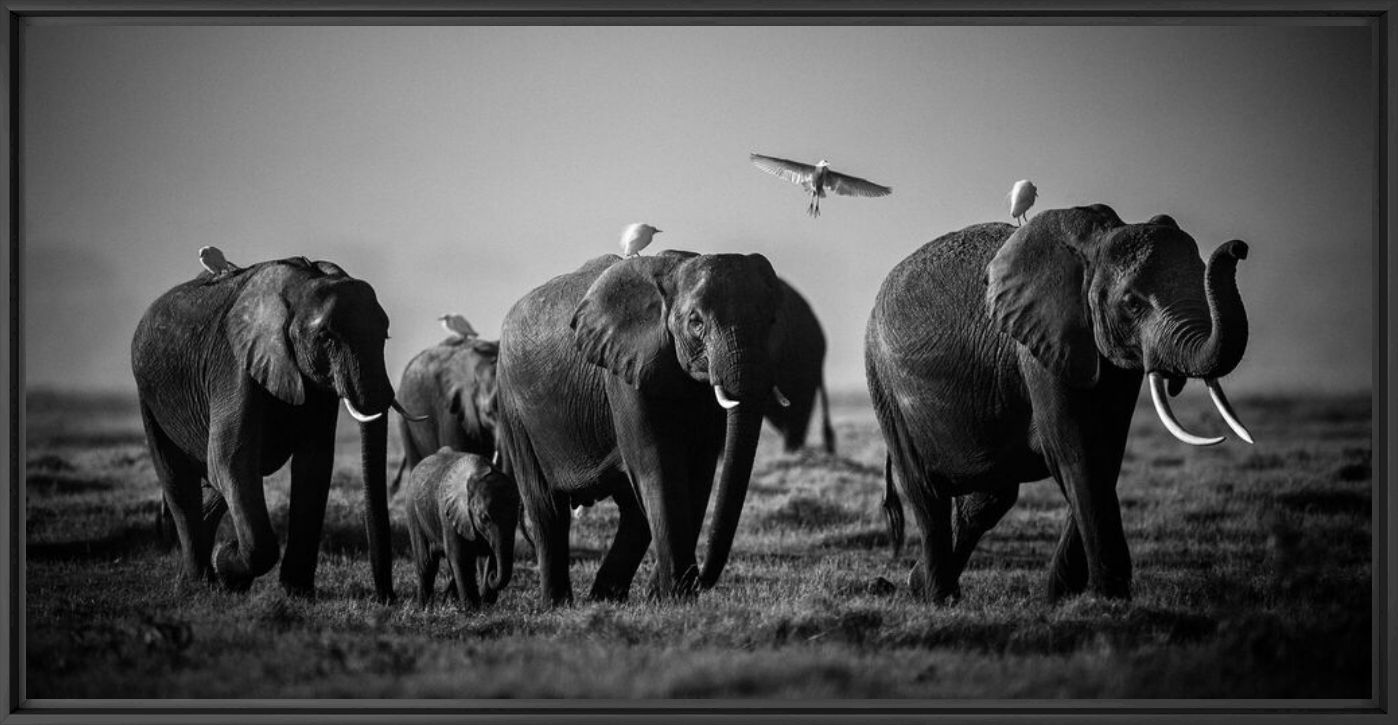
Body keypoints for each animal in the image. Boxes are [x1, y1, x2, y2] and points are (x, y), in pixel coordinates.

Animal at [129, 255, 413, 600]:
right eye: (327, 337)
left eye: (385, 335)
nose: (387, 598)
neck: (302, 285)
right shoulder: (235, 364)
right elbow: (231, 459)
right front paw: (228, 562)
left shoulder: (314, 384)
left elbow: (314, 464)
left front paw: (297, 592)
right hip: (149, 393)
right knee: (179, 481)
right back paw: (199, 582)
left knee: (213, 485)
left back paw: (196, 574)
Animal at [408, 444, 522, 609]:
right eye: (484, 518)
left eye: (516, 518)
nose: (492, 576)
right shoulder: (449, 515)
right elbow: (460, 558)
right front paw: (472, 609)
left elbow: (492, 556)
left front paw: (486, 605)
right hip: (413, 513)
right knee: (426, 565)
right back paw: (424, 608)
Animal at [497, 250, 788, 606]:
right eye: (696, 323)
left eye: (771, 321)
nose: (702, 579)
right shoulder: (624, 373)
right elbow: (658, 466)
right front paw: (677, 595)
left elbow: (698, 476)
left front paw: (668, 597)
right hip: (513, 406)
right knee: (547, 507)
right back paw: (558, 604)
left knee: (632, 511)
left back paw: (605, 598)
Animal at [861, 205, 1258, 606]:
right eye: (1132, 303)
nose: (1238, 248)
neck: (1094, 246)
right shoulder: (1041, 347)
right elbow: (1076, 456)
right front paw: (1108, 600)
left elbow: (1105, 455)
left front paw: (1061, 597)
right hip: (884, 386)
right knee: (928, 495)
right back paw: (938, 597)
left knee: (988, 501)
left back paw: (920, 585)